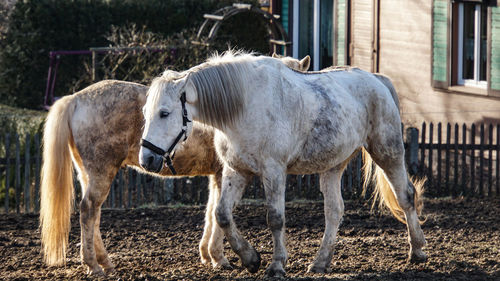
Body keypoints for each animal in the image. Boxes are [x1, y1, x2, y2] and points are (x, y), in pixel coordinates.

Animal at [39, 56, 308, 274]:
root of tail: (75, 98)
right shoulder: (224, 173)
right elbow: (220, 212)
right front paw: (219, 257)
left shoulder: (217, 175)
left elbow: (211, 211)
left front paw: (207, 254)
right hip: (101, 173)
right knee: (88, 210)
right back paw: (93, 265)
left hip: (89, 174)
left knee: (93, 214)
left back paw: (104, 261)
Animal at [140, 51, 426, 276]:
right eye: (145, 112)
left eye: (164, 113)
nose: (146, 158)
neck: (243, 106)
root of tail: (377, 80)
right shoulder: (236, 171)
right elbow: (222, 214)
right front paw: (250, 258)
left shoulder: (274, 171)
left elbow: (275, 218)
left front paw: (276, 265)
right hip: (333, 166)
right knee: (334, 211)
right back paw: (320, 262)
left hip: (387, 152)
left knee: (406, 196)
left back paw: (418, 251)